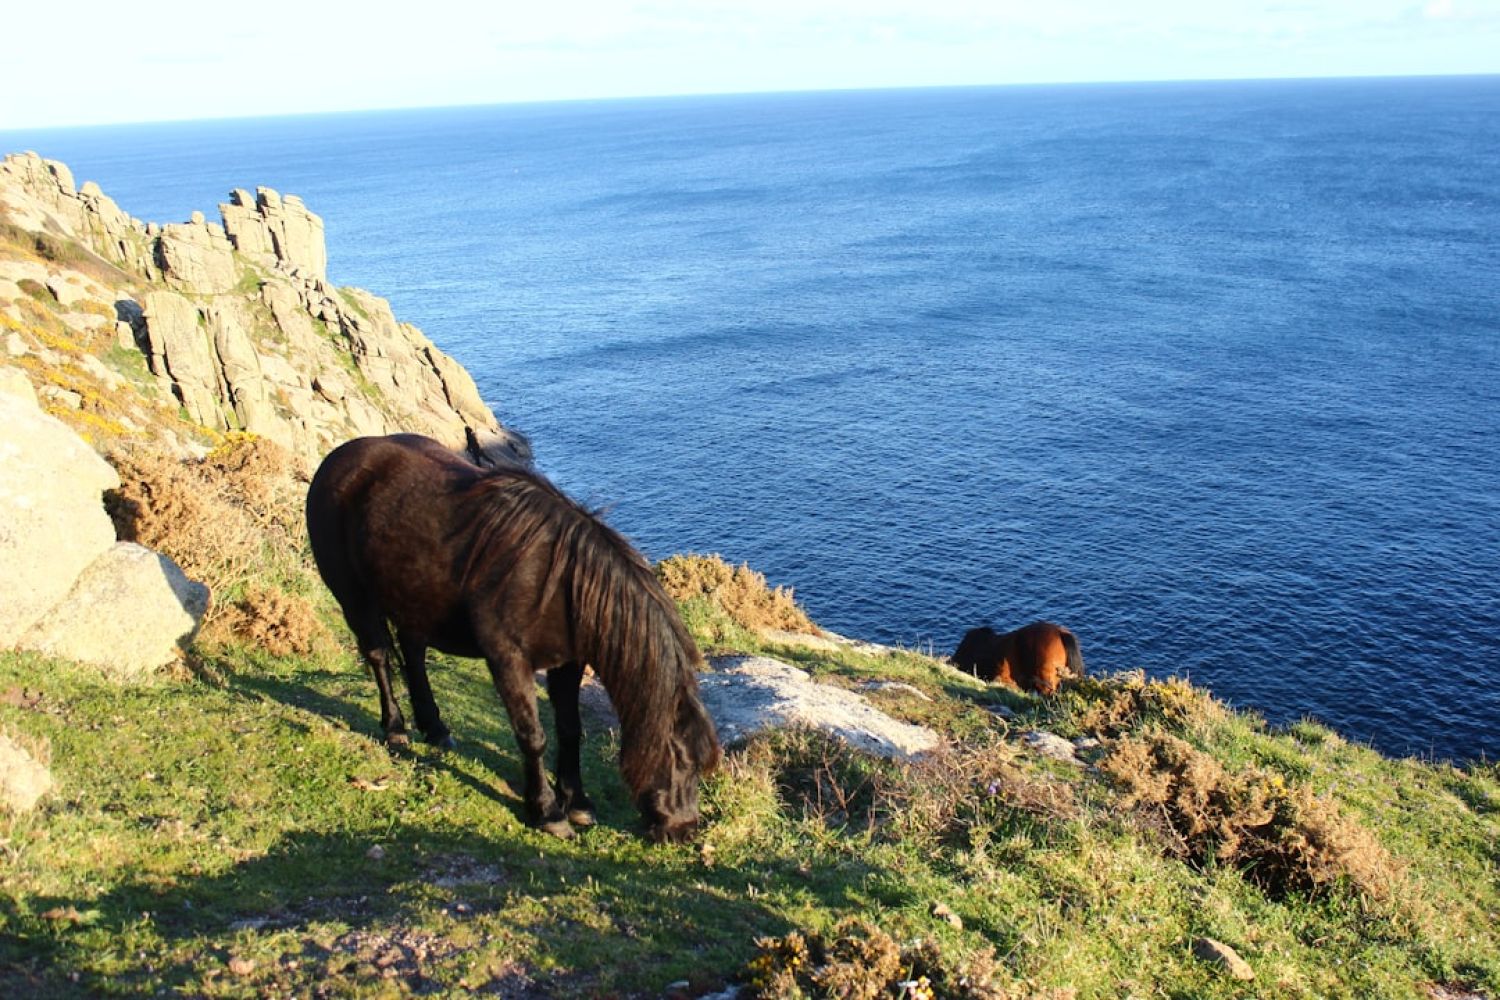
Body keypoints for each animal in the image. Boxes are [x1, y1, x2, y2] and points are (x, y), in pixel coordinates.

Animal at [306, 434, 720, 839]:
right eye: (681, 760)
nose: (684, 829)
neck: (559, 583)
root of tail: (338, 458)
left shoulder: (568, 663)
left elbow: (570, 729)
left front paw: (577, 801)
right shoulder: (508, 661)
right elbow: (532, 736)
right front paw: (547, 811)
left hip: (413, 601)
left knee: (414, 655)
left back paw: (435, 728)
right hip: (354, 597)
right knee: (378, 656)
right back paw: (395, 728)